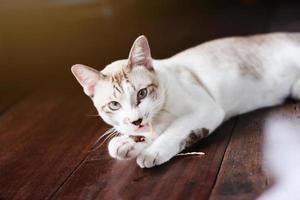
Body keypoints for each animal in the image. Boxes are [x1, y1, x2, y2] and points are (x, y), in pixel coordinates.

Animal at [71, 32, 300, 167]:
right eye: (114, 105)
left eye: (142, 93)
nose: (136, 120)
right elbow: (142, 134)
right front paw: (127, 142)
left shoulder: (206, 109)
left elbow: (175, 129)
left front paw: (151, 151)